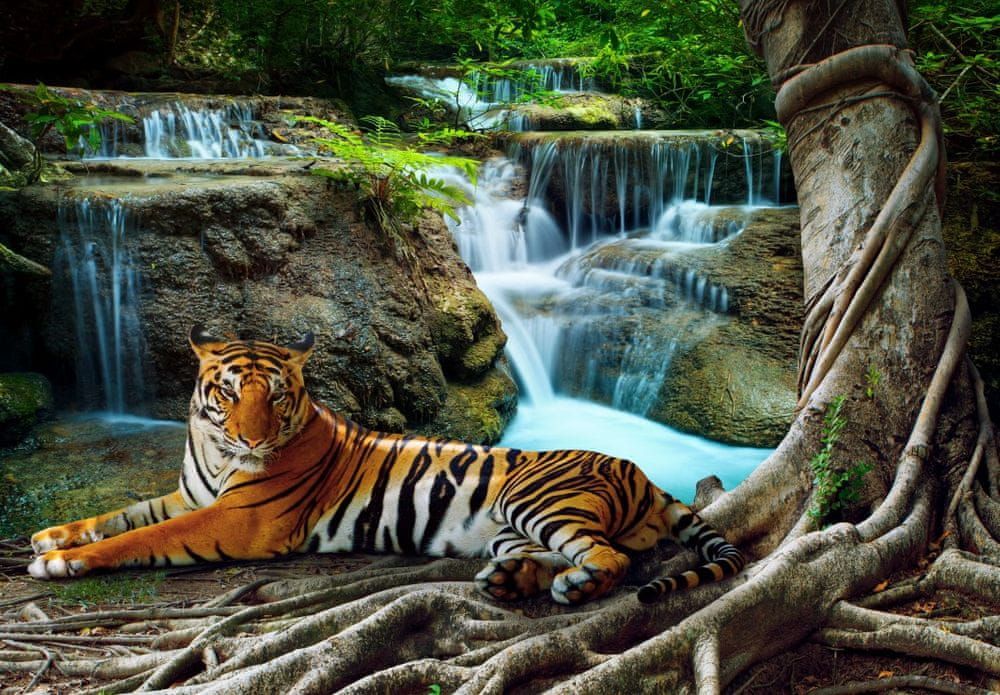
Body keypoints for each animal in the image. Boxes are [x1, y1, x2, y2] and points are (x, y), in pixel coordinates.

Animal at [28, 326, 745, 605]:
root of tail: (643, 473)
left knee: (610, 558)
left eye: (276, 396)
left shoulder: (236, 520)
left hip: (536, 500)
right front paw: (51, 536)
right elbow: (123, 513)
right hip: (512, 526)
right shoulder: (191, 495)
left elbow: (142, 536)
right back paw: (509, 580)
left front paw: (64, 561)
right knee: (558, 555)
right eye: (228, 393)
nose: (253, 439)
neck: (212, 448)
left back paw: (570, 586)